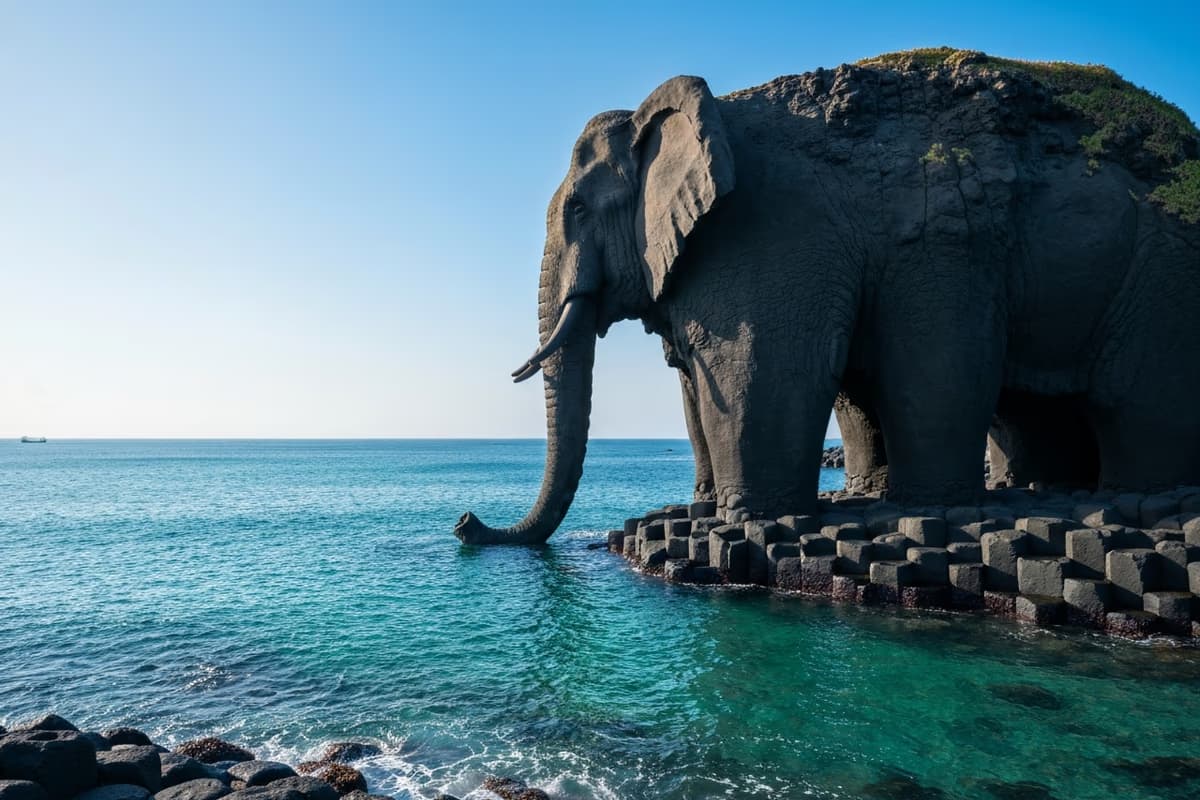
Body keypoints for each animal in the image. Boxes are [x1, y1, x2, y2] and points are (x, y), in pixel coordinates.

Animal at [455, 49, 1200, 545]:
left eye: (578, 209)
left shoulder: (772, 229)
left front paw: (747, 522)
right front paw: (701, 516)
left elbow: (763, 365)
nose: (466, 520)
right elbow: (701, 383)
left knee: (1128, 398)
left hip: (1160, 273)